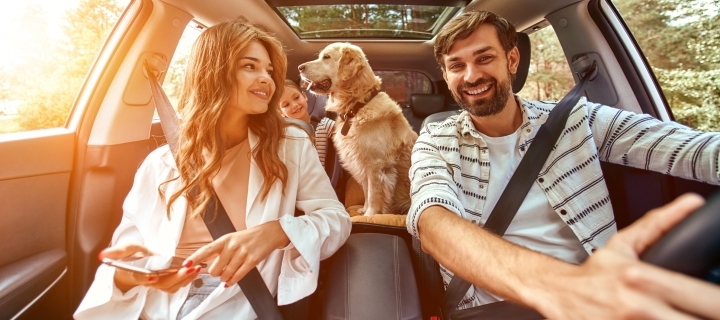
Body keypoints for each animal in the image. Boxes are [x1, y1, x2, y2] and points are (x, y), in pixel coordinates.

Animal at [296, 42, 416, 216]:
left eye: (326, 57)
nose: (299, 67)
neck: (358, 106)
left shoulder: (375, 165)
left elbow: (373, 194)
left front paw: (370, 214)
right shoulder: (360, 162)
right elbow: (366, 190)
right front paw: (363, 209)